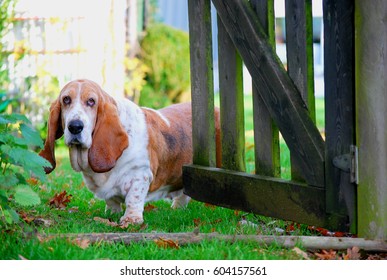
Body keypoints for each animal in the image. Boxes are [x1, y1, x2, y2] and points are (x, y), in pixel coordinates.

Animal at [40, 79, 221, 225]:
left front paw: (131, 219)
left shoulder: (140, 174)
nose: (75, 126)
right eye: (66, 99)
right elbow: (111, 200)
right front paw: (112, 213)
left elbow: (134, 198)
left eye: (91, 101)